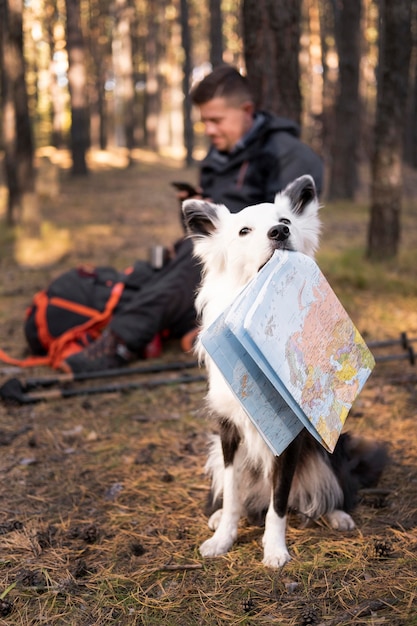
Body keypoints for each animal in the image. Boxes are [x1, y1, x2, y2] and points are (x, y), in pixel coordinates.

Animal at [183, 174, 386, 564]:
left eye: (286, 221)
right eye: (244, 231)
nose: (279, 232)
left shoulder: (290, 439)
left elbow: (279, 502)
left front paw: (275, 549)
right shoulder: (228, 432)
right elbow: (233, 493)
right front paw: (224, 538)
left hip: (331, 449)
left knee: (334, 488)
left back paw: (338, 514)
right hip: (215, 450)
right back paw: (217, 516)